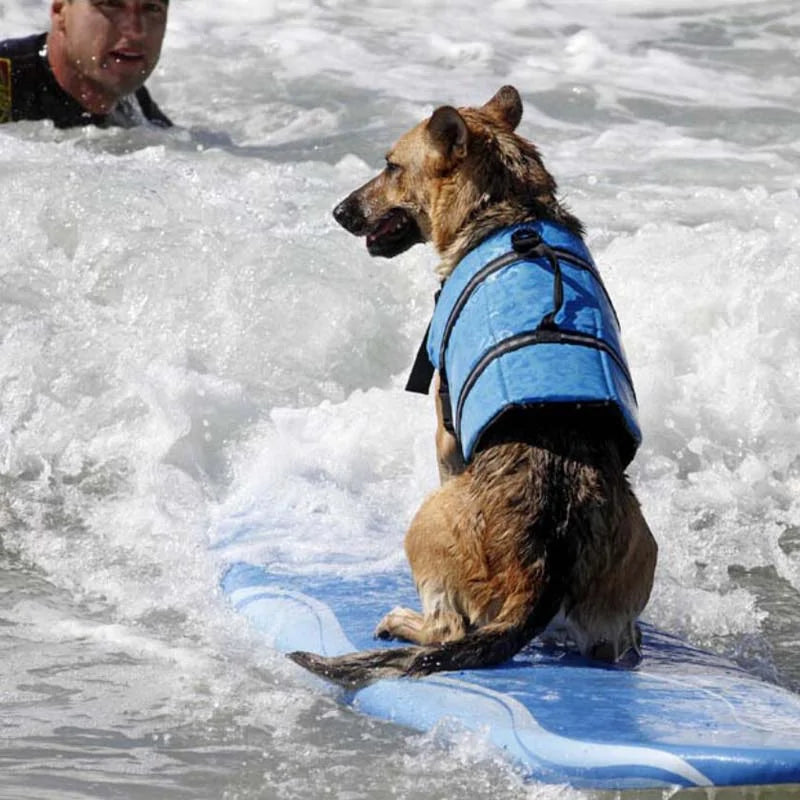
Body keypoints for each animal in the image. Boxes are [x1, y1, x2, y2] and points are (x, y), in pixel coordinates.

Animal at [288, 86, 656, 688]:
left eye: (391, 166)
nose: (339, 211)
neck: (511, 210)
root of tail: (547, 564)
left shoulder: (443, 431)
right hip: (629, 578)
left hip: (425, 522)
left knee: (447, 630)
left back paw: (403, 620)